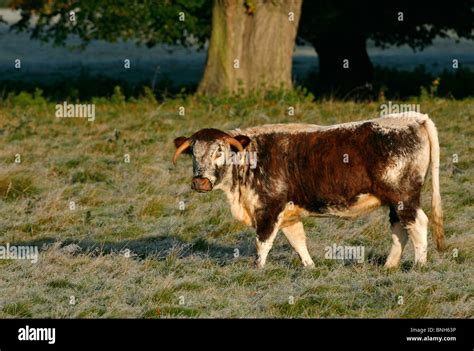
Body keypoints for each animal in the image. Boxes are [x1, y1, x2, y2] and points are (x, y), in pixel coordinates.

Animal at [171, 113, 444, 270]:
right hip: (394, 201)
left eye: (220, 151)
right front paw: (310, 266)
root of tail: (413, 117)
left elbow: (263, 242)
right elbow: (297, 241)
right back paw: (389, 266)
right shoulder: (289, 213)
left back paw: (419, 265)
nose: (200, 182)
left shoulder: (269, 208)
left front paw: (257, 269)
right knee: (400, 229)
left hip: (403, 196)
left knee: (418, 224)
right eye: (193, 153)